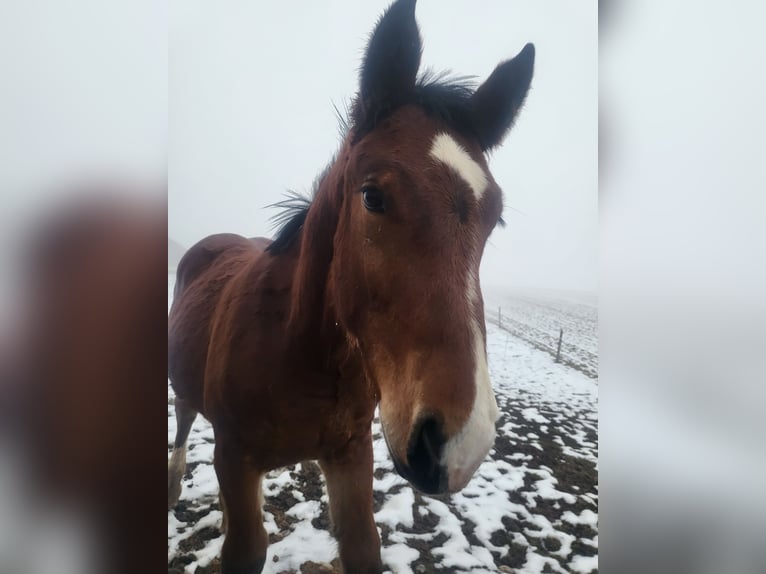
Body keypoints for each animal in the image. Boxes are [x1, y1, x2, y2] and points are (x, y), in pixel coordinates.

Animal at [167, 0, 534, 572]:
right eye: (372, 196)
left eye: (493, 218)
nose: (458, 442)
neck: (298, 353)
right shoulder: (234, 455)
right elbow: (246, 548)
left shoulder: (350, 455)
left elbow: (364, 546)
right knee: (183, 429)